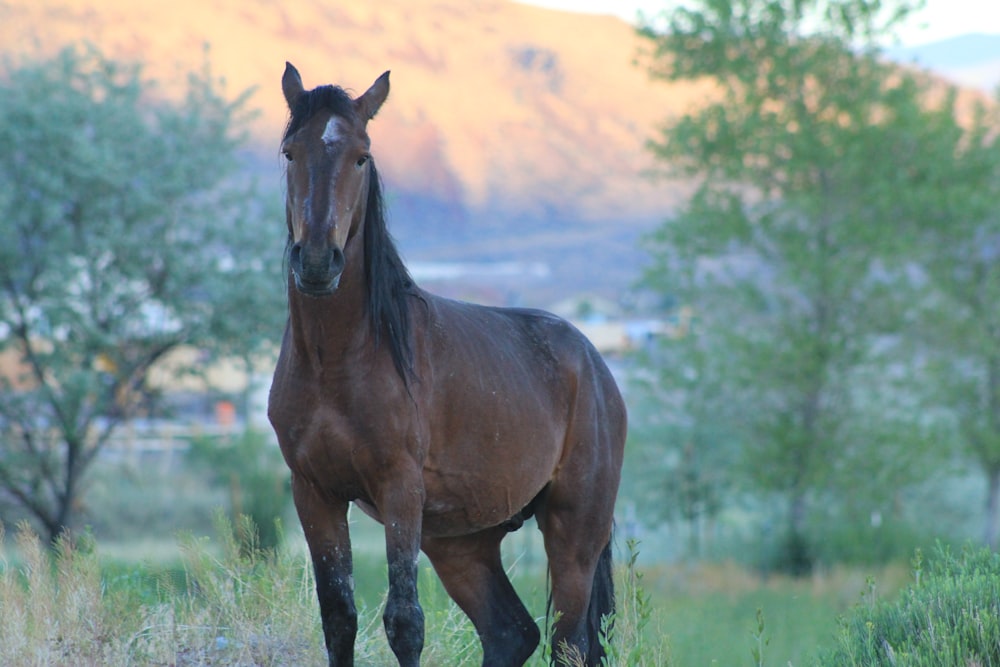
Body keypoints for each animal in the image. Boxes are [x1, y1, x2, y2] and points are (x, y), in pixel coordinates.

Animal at [266, 64, 624, 667]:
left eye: (361, 157)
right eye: (291, 152)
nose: (316, 261)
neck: (338, 359)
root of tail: (597, 367)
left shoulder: (399, 488)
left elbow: (404, 621)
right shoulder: (315, 492)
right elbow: (339, 618)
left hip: (573, 530)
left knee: (569, 641)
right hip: (462, 542)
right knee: (509, 632)